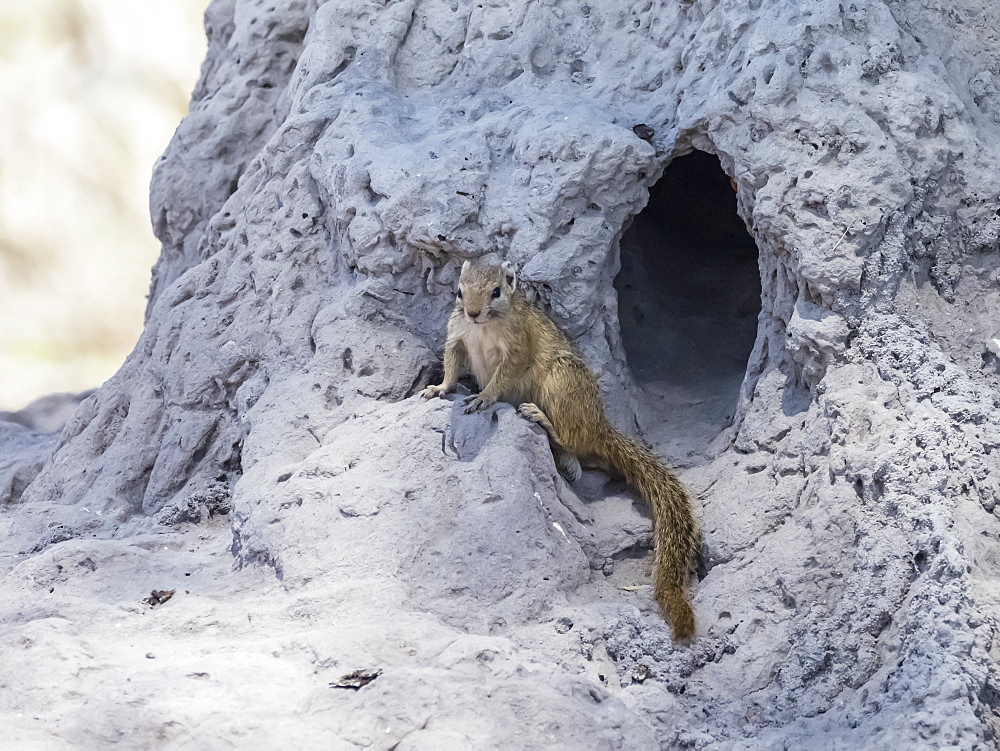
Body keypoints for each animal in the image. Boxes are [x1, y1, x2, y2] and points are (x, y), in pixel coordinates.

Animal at [420, 258, 696, 640]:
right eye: (460, 292)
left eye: (497, 291)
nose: (473, 312)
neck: (484, 328)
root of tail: (600, 426)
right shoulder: (458, 336)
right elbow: (450, 364)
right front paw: (439, 388)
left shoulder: (517, 348)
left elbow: (502, 377)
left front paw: (484, 397)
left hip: (561, 381)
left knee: (571, 437)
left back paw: (542, 420)